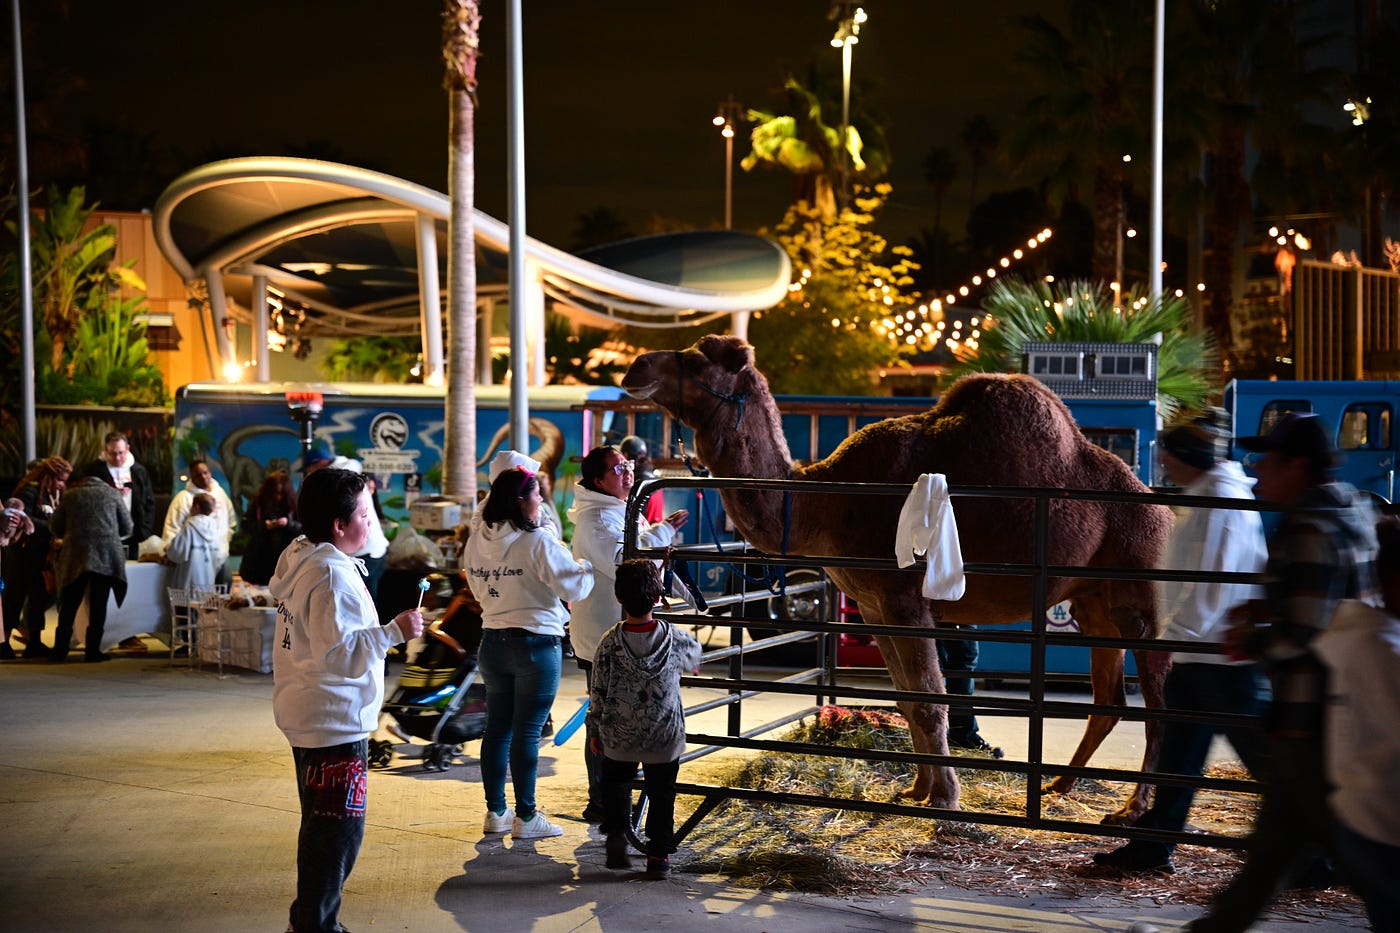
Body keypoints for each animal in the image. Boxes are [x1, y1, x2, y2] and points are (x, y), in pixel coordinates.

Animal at [624, 334, 1170, 812]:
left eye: (697, 361)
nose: (636, 366)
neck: (823, 501)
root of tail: (1160, 506)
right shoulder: (872, 604)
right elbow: (908, 700)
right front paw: (916, 790)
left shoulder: (905, 597)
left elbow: (931, 700)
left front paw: (946, 799)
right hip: (1095, 602)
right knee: (1109, 698)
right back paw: (1059, 786)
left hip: (1143, 589)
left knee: (1158, 699)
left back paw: (1133, 807)